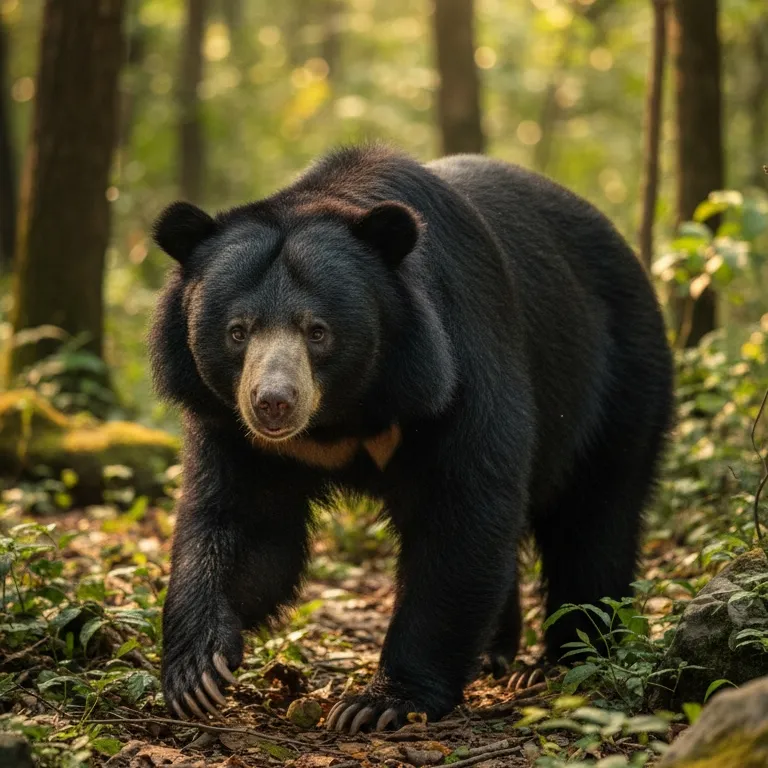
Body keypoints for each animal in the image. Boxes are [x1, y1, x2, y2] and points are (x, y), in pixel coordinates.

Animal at [149, 144, 674, 732]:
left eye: (318, 331)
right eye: (237, 331)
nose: (273, 403)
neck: (346, 414)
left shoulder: (456, 368)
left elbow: (462, 515)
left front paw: (378, 703)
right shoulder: (234, 427)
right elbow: (244, 526)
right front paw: (197, 673)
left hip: (619, 378)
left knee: (594, 518)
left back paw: (567, 659)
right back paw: (497, 655)